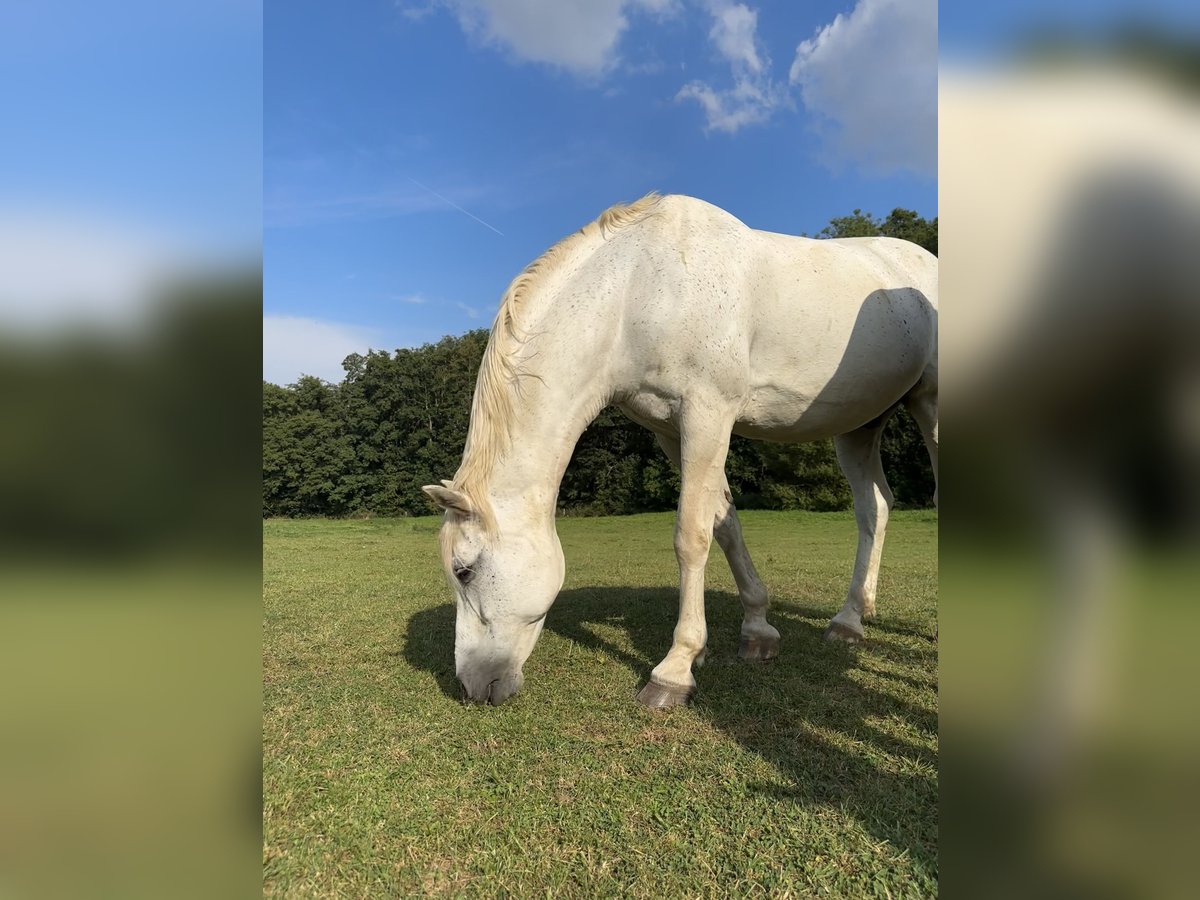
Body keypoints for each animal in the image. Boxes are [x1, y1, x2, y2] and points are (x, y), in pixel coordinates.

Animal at [422, 194, 936, 710]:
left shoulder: (707, 415)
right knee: (874, 508)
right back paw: (850, 620)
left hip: (929, 406)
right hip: (860, 427)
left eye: (464, 571)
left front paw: (675, 669)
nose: (472, 687)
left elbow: (691, 535)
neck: (634, 292)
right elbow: (724, 524)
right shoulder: (674, 430)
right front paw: (757, 631)